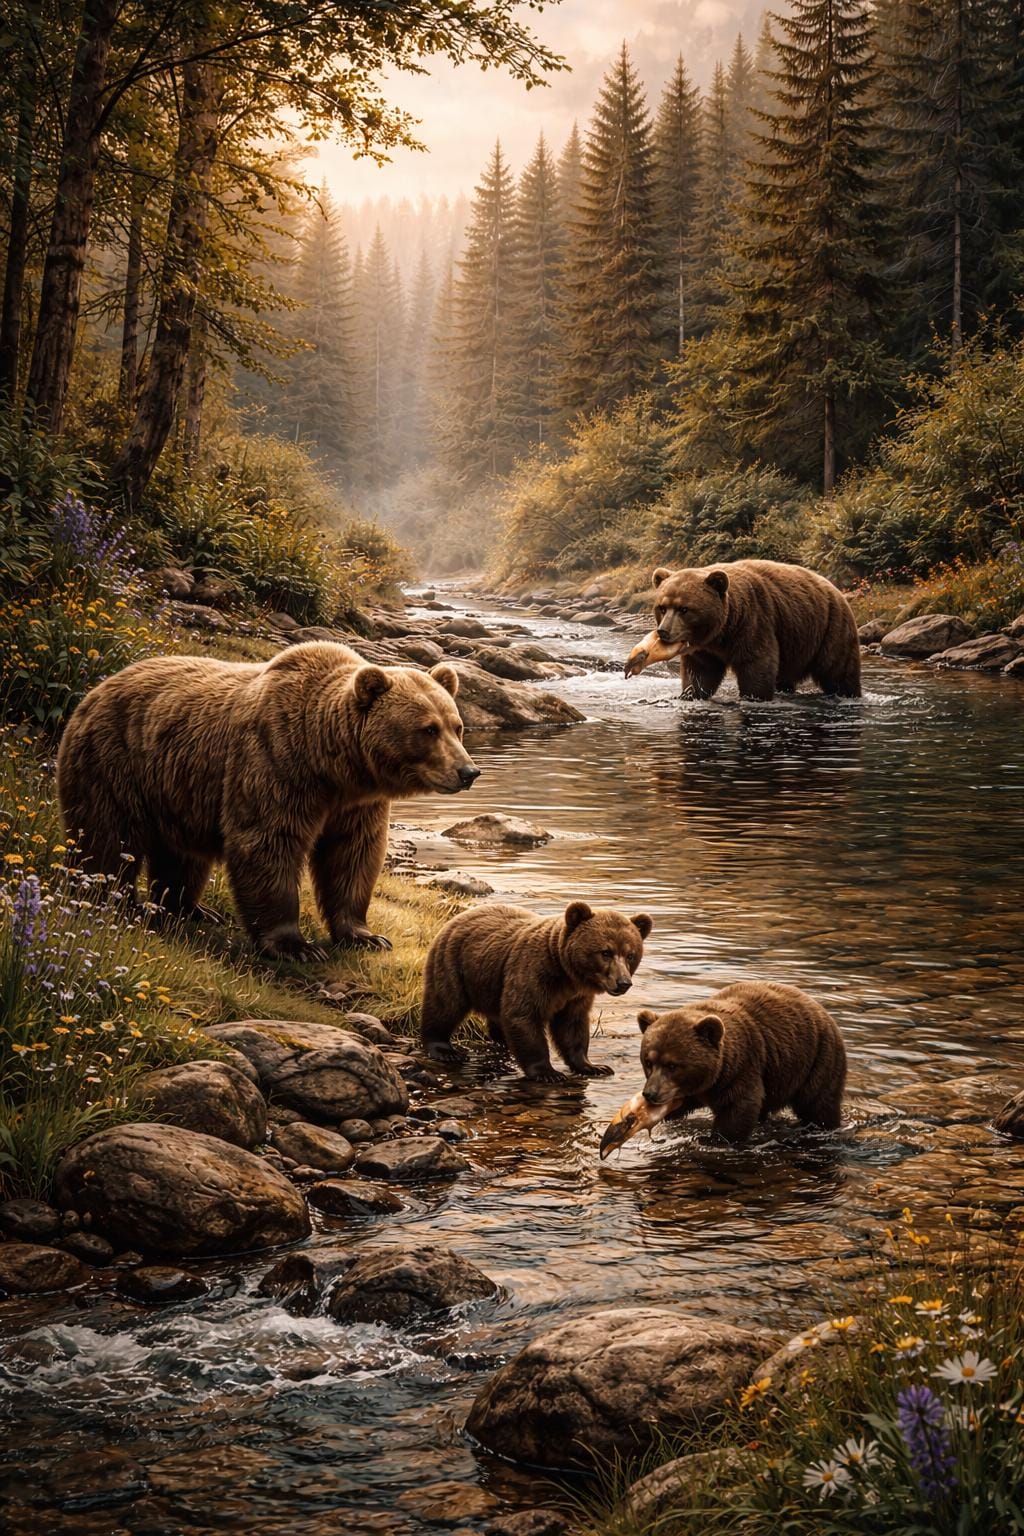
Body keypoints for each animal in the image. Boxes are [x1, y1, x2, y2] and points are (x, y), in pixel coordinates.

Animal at [56, 641, 480, 960]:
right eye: (428, 729)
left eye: (457, 726)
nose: (468, 772)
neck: (332, 762)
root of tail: (97, 687)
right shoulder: (275, 762)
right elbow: (267, 842)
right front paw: (295, 946)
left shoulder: (356, 805)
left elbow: (353, 854)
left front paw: (365, 935)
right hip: (114, 761)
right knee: (109, 838)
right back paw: (112, 899)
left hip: (176, 786)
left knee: (182, 855)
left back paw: (193, 908)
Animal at [420, 901, 653, 1082]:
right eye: (606, 952)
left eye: (630, 954)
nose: (623, 982)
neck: (567, 975)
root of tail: (456, 918)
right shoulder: (533, 973)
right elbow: (523, 1015)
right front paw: (549, 1073)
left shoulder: (575, 997)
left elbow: (573, 1026)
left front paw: (594, 1066)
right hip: (453, 962)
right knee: (445, 1004)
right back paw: (443, 1049)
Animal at [599, 981, 846, 1154]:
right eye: (649, 1061)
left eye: (673, 1065)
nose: (650, 1093)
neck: (712, 1078)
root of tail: (822, 1010)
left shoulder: (743, 1069)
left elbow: (738, 1108)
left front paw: (712, 1140)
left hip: (818, 1059)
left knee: (819, 1104)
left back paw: (822, 1127)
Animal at [629, 558, 861, 702]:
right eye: (662, 607)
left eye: (684, 609)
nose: (663, 631)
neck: (722, 632)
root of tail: (838, 591)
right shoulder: (705, 649)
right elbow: (700, 673)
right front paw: (690, 694)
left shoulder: (754, 622)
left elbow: (757, 664)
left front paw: (753, 696)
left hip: (830, 628)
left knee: (839, 671)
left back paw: (847, 694)